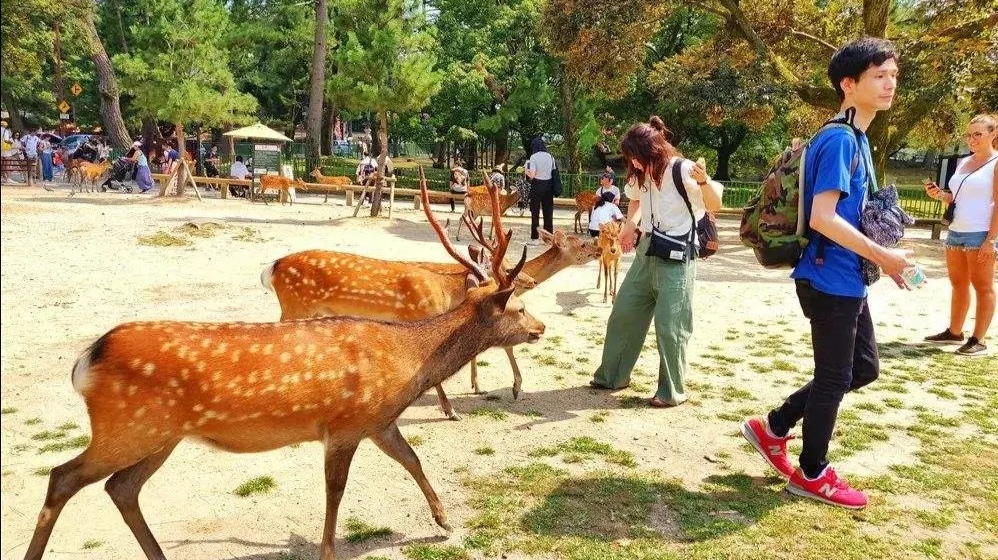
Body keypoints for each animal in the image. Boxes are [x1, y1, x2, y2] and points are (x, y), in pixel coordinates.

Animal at [19, 168, 544, 560]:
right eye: (518, 307)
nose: (540, 327)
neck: (405, 362)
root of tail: (86, 360)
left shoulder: (378, 421)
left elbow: (412, 459)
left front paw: (444, 520)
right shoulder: (344, 424)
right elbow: (336, 491)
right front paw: (329, 550)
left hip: (160, 434)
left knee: (121, 489)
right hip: (128, 427)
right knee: (63, 477)